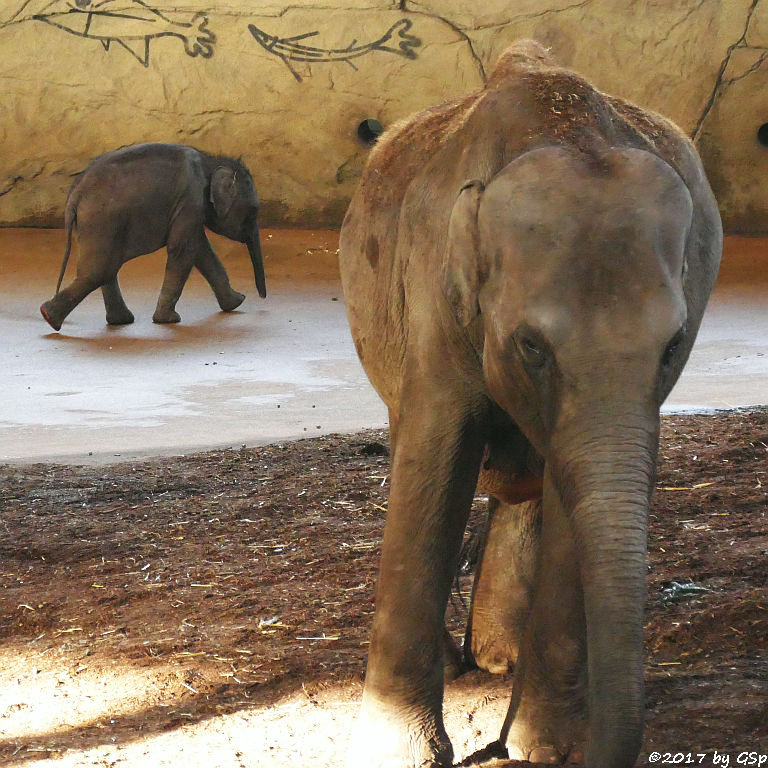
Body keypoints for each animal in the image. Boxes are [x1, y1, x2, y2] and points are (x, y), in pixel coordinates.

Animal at [39, 142, 268, 328]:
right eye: (253, 212)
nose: (262, 297)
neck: (210, 161)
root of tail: (75, 194)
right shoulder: (190, 200)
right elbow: (183, 249)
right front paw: (168, 320)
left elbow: (201, 251)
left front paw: (237, 302)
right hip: (101, 221)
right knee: (99, 270)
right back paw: (49, 317)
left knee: (106, 268)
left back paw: (118, 321)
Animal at [340, 40, 724, 768]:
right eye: (531, 346)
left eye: (673, 346)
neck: (564, 128)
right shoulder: (432, 295)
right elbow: (435, 464)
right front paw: (401, 752)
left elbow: (575, 492)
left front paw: (547, 748)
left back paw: (501, 658)